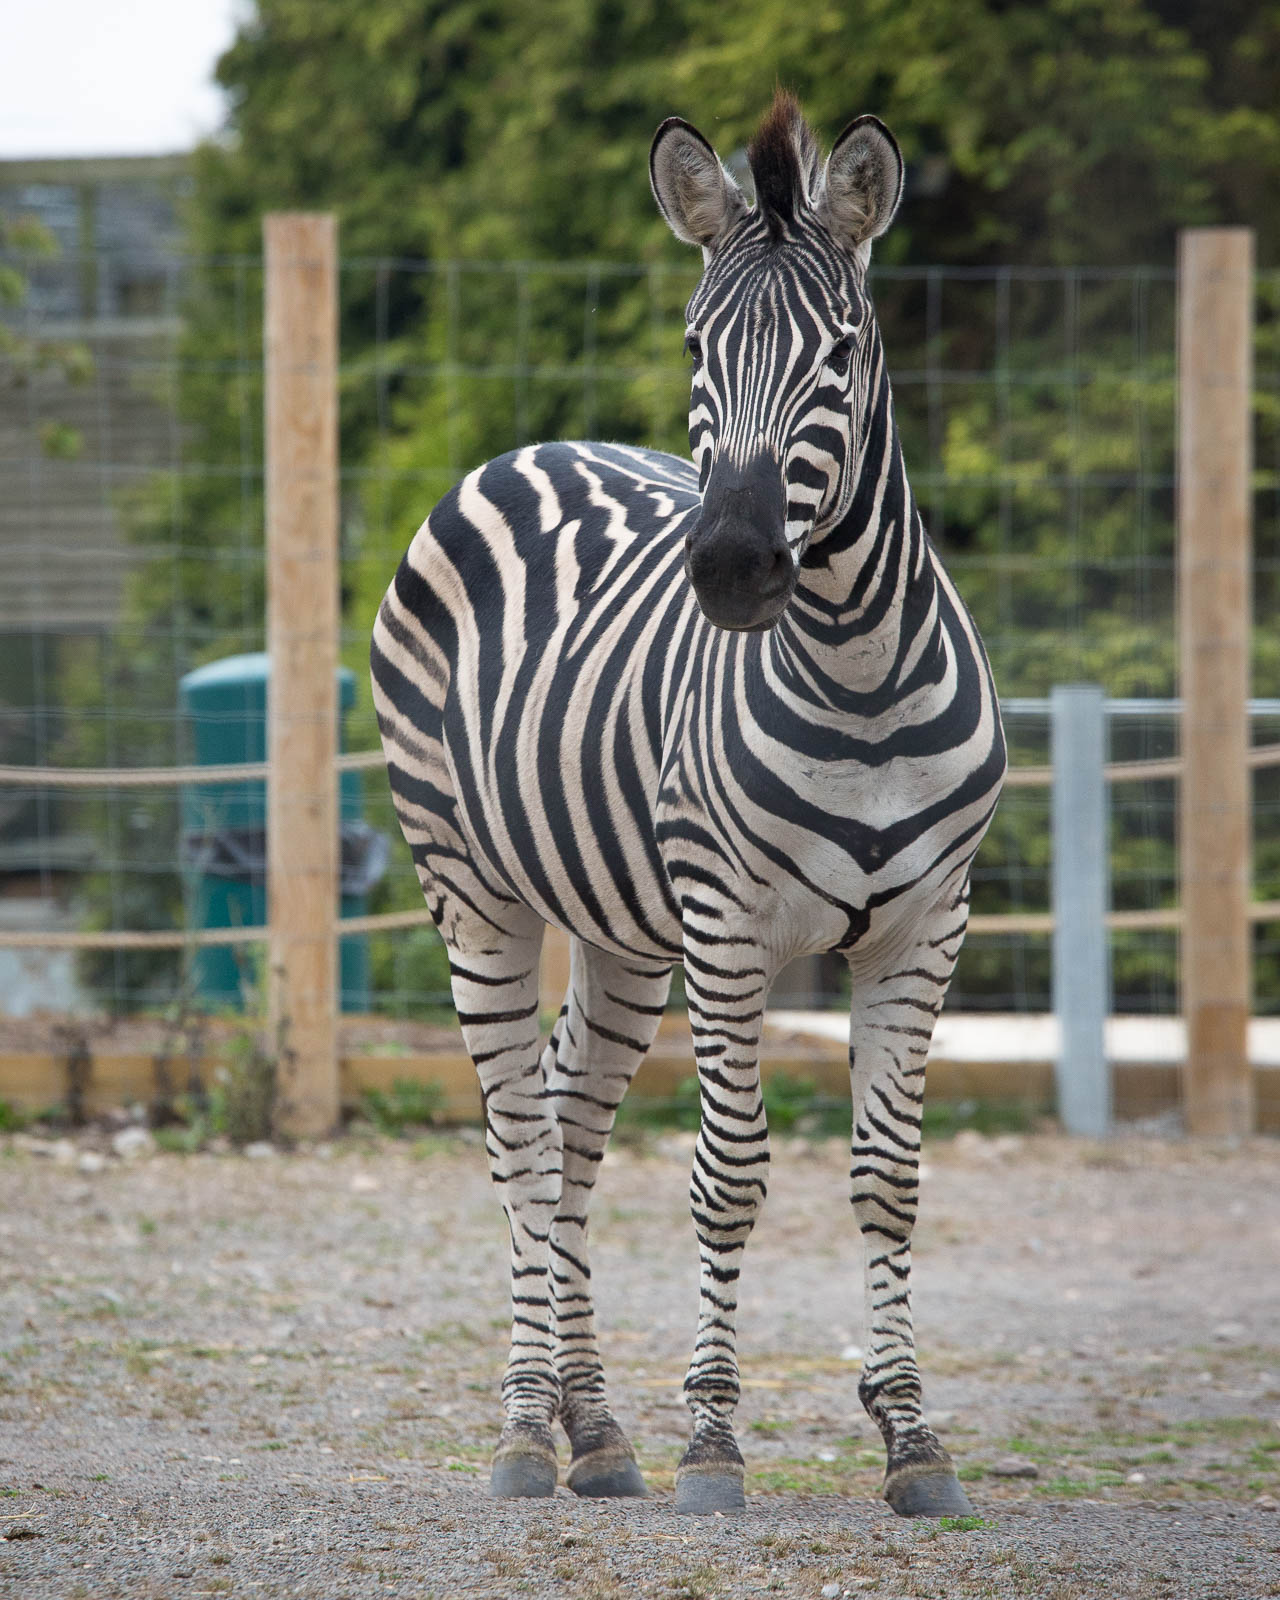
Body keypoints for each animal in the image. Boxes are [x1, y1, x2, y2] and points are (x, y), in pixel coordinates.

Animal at [371, 91, 1005, 1519]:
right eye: (694, 345)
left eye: (840, 350)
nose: (727, 565)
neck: (858, 680)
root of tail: (531, 446)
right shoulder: (727, 928)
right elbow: (729, 1175)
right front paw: (711, 1441)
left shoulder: (924, 928)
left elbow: (887, 1179)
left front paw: (912, 1439)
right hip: (472, 893)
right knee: (518, 1141)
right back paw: (524, 1431)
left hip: (618, 931)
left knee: (568, 1127)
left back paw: (595, 1430)